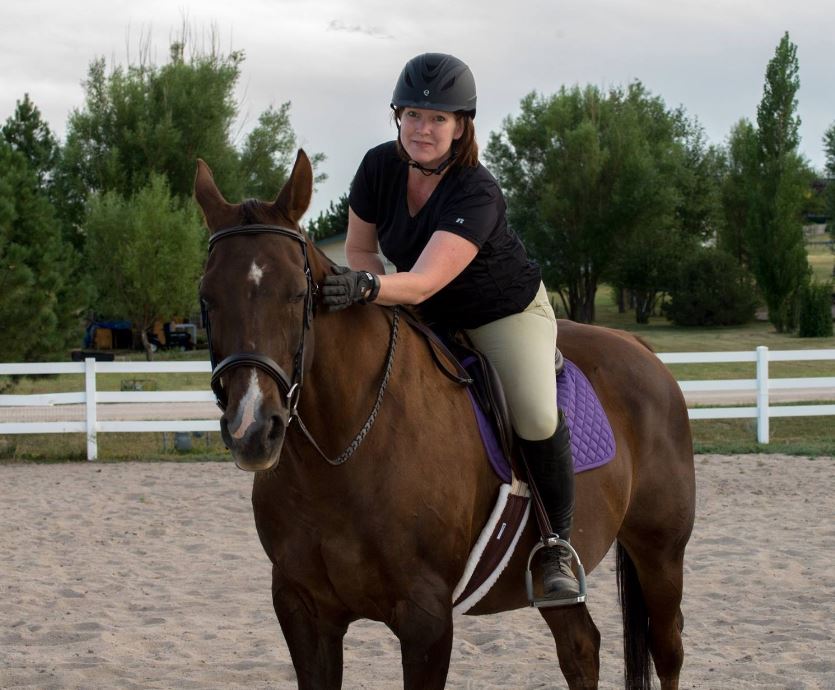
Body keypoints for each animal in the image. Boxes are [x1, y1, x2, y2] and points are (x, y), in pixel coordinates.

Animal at [194, 150, 696, 690]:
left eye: (296, 294)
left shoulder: (426, 618)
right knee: (581, 647)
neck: (340, 456)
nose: (251, 429)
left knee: (668, 649)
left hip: (660, 553)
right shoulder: (302, 610)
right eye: (207, 297)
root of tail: (639, 349)